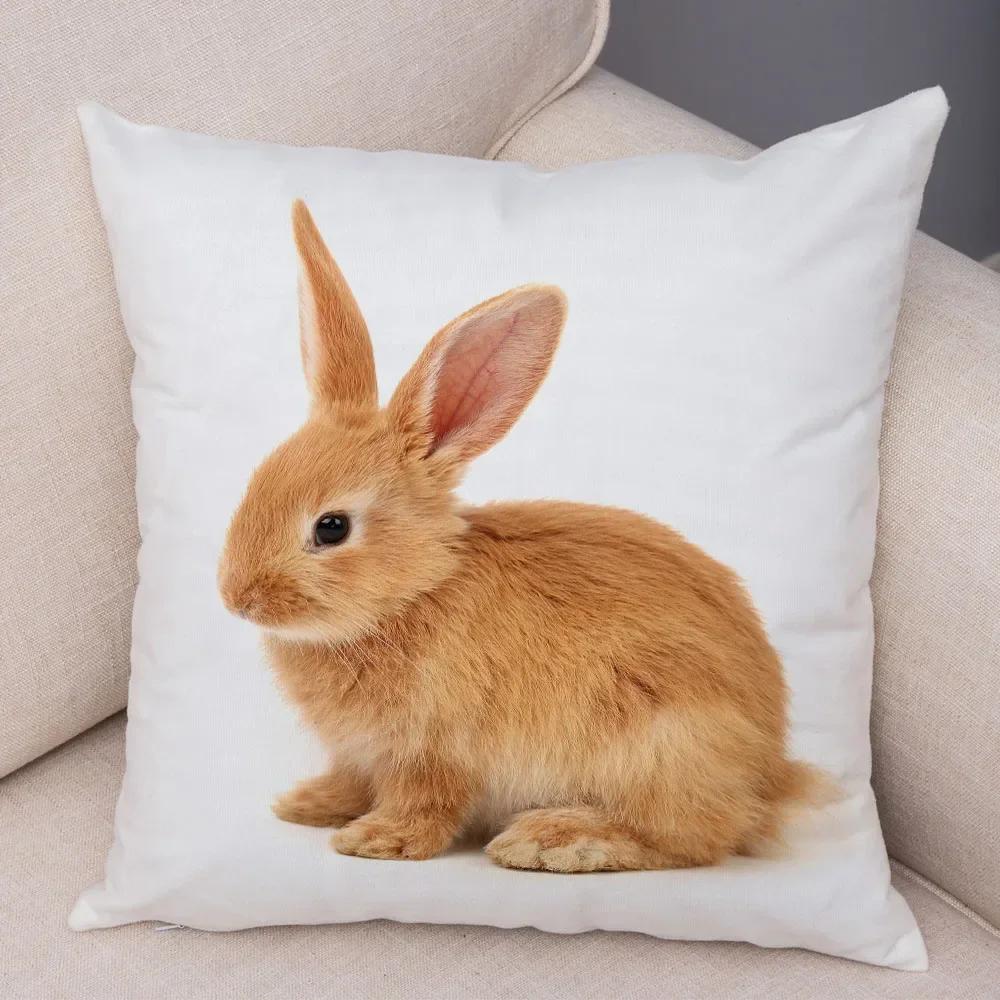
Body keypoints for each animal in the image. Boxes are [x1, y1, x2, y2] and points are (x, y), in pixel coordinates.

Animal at [217, 200, 825, 873]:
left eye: (332, 528)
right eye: (257, 481)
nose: (237, 598)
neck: (414, 591)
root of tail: (768, 776)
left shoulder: (434, 749)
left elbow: (425, 803)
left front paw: (376, 840)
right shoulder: (362, 753)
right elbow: (353, 778)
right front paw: (308, 804)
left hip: (662, 744)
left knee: (692, 836)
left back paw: (553, 838)